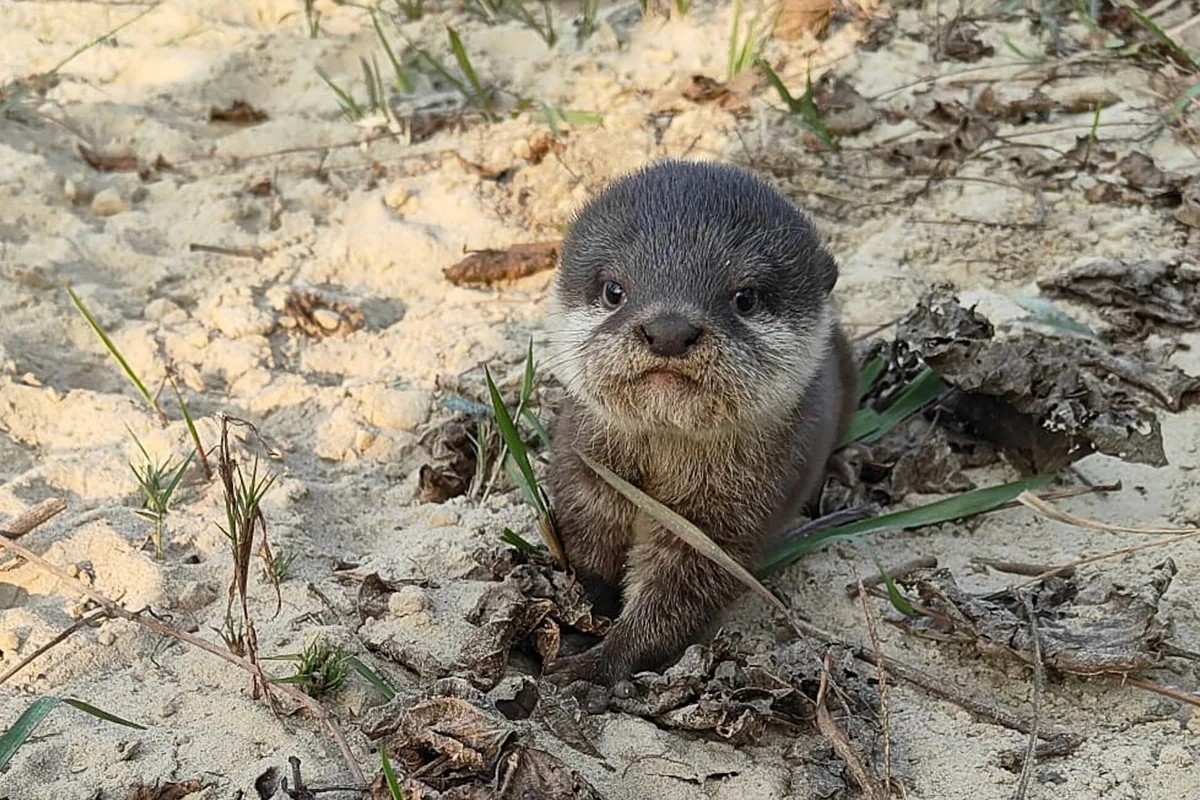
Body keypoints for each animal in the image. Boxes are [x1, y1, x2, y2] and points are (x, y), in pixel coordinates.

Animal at [543, 160, 857, 686]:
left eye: (745, 297)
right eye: (614, 290)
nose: (668, 329)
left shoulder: (728, 519)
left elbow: (677, 597)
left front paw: (600, 664)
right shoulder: (583, 475)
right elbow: (587, 547)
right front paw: (586, 608)